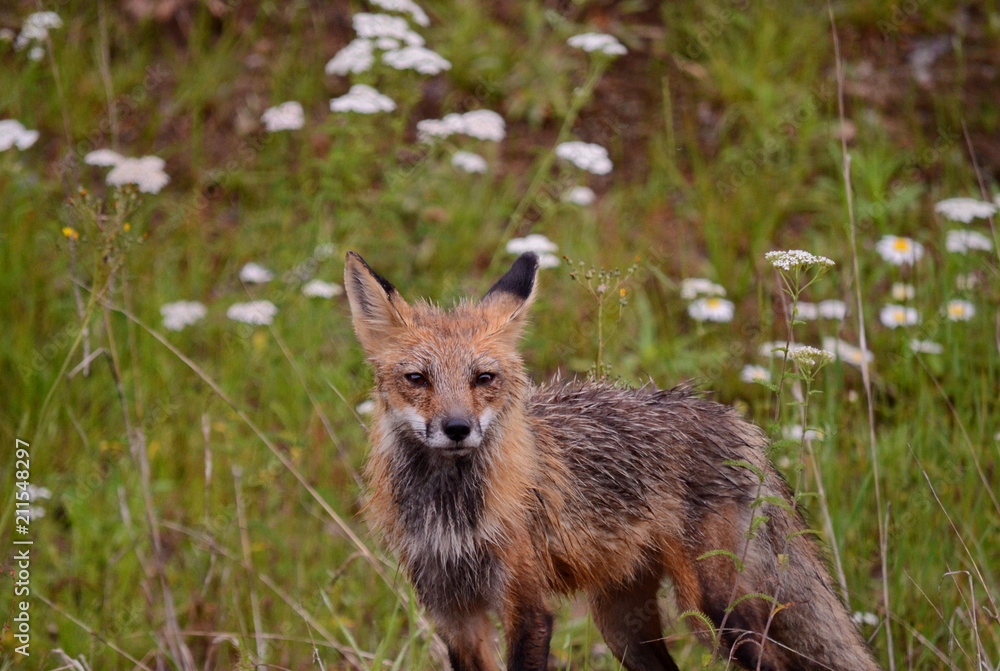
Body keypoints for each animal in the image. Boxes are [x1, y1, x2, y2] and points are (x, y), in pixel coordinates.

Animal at [344, 250, 882, 671]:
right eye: (417, 379)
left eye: (484, 378)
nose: (457, 428)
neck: (451, 517)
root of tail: (735, 421)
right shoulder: (454, 614)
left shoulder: (527, 606)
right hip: (625, 628)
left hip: (716, 610)